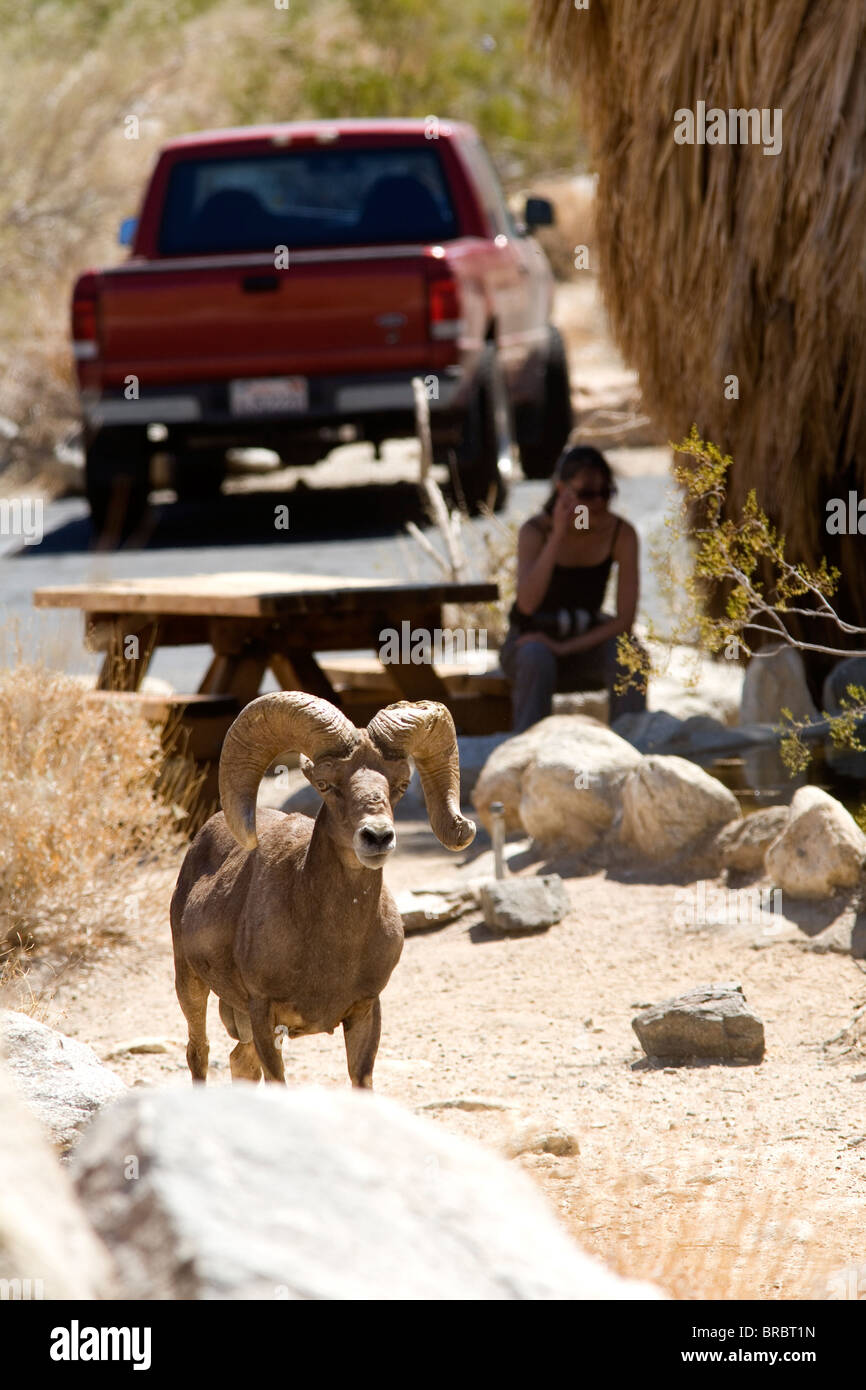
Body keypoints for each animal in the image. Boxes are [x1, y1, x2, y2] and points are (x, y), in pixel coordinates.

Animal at [170, 692, 475, 1089]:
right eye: (327, 785)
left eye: (400, 785)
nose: (378, 837)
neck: (331, 945)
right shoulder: (264, 1013)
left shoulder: (365, 1011)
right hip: (190, 984)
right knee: (199, 1053)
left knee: (240, 1061)